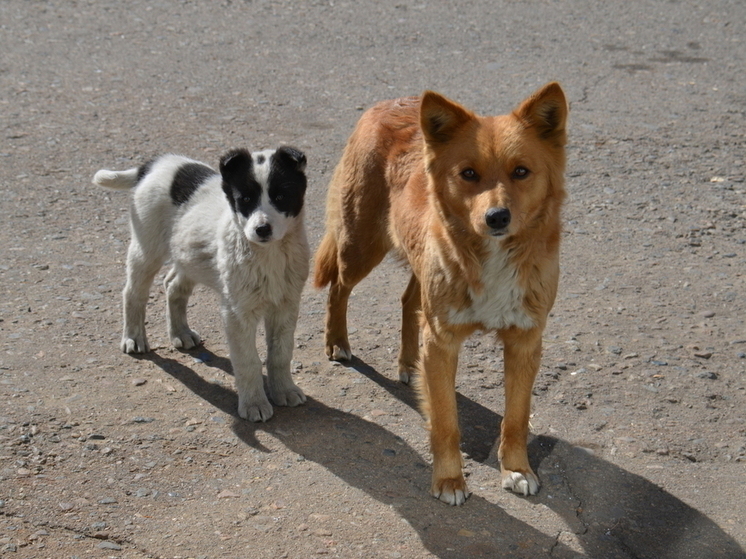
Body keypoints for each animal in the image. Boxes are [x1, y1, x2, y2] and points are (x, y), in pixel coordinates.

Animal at [93, 147, 308, 422]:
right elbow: (248, 361)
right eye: (245, 199)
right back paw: (133, 337)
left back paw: (180, 333)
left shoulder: (286, 304)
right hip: (147, 247)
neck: (268, 253)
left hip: (188, 255)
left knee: (173, 286)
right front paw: (254, 404)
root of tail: (152, 165)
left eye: (281, 196)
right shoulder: (237, 312)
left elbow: (281, 353)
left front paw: (284, 390)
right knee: (133, 293)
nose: (262, 229)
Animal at [312, 83, 564, 508]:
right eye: (468, 174)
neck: (491, 256)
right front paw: (449, 480)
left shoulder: (525, 342)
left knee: (407, 301)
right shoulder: (443, 342)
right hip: (361, 246)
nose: (497, 217)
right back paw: (337, 342)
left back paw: (409, 363)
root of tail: (387, 103)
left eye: (521, 172)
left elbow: (516, 418)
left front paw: (516, 469)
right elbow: (446, 421)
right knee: (338, 289)